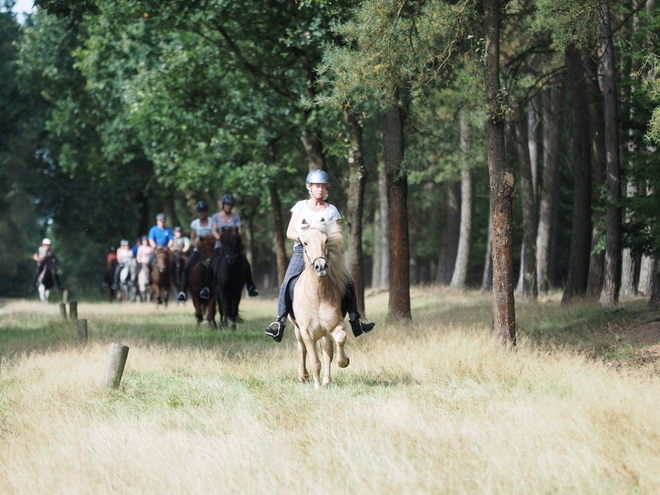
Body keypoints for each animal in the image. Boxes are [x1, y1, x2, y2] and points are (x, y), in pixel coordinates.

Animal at [290, 219, 348, 390]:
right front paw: (317, 388)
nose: (321, 267)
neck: (317, 296)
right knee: (302, 349)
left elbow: (340, 339)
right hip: (297, 330)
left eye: (326, 240)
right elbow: (315, 362)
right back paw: (303, 376)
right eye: (305, 243)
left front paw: (343, 361)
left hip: (325, 333)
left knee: (328, 352)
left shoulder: (335, 325)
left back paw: (327, 380)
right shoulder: (307, 333)